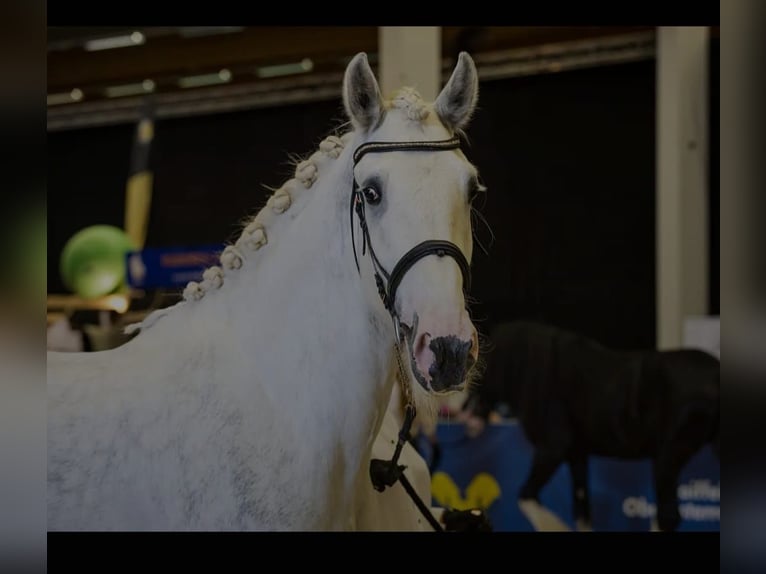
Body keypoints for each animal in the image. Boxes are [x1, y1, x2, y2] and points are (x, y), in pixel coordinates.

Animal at [461, 321, 720, 532]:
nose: (465, 419)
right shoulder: (577, 455)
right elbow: (582, 511)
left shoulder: (551, 450)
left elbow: (527, 497)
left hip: (668, 458)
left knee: (667, 517)